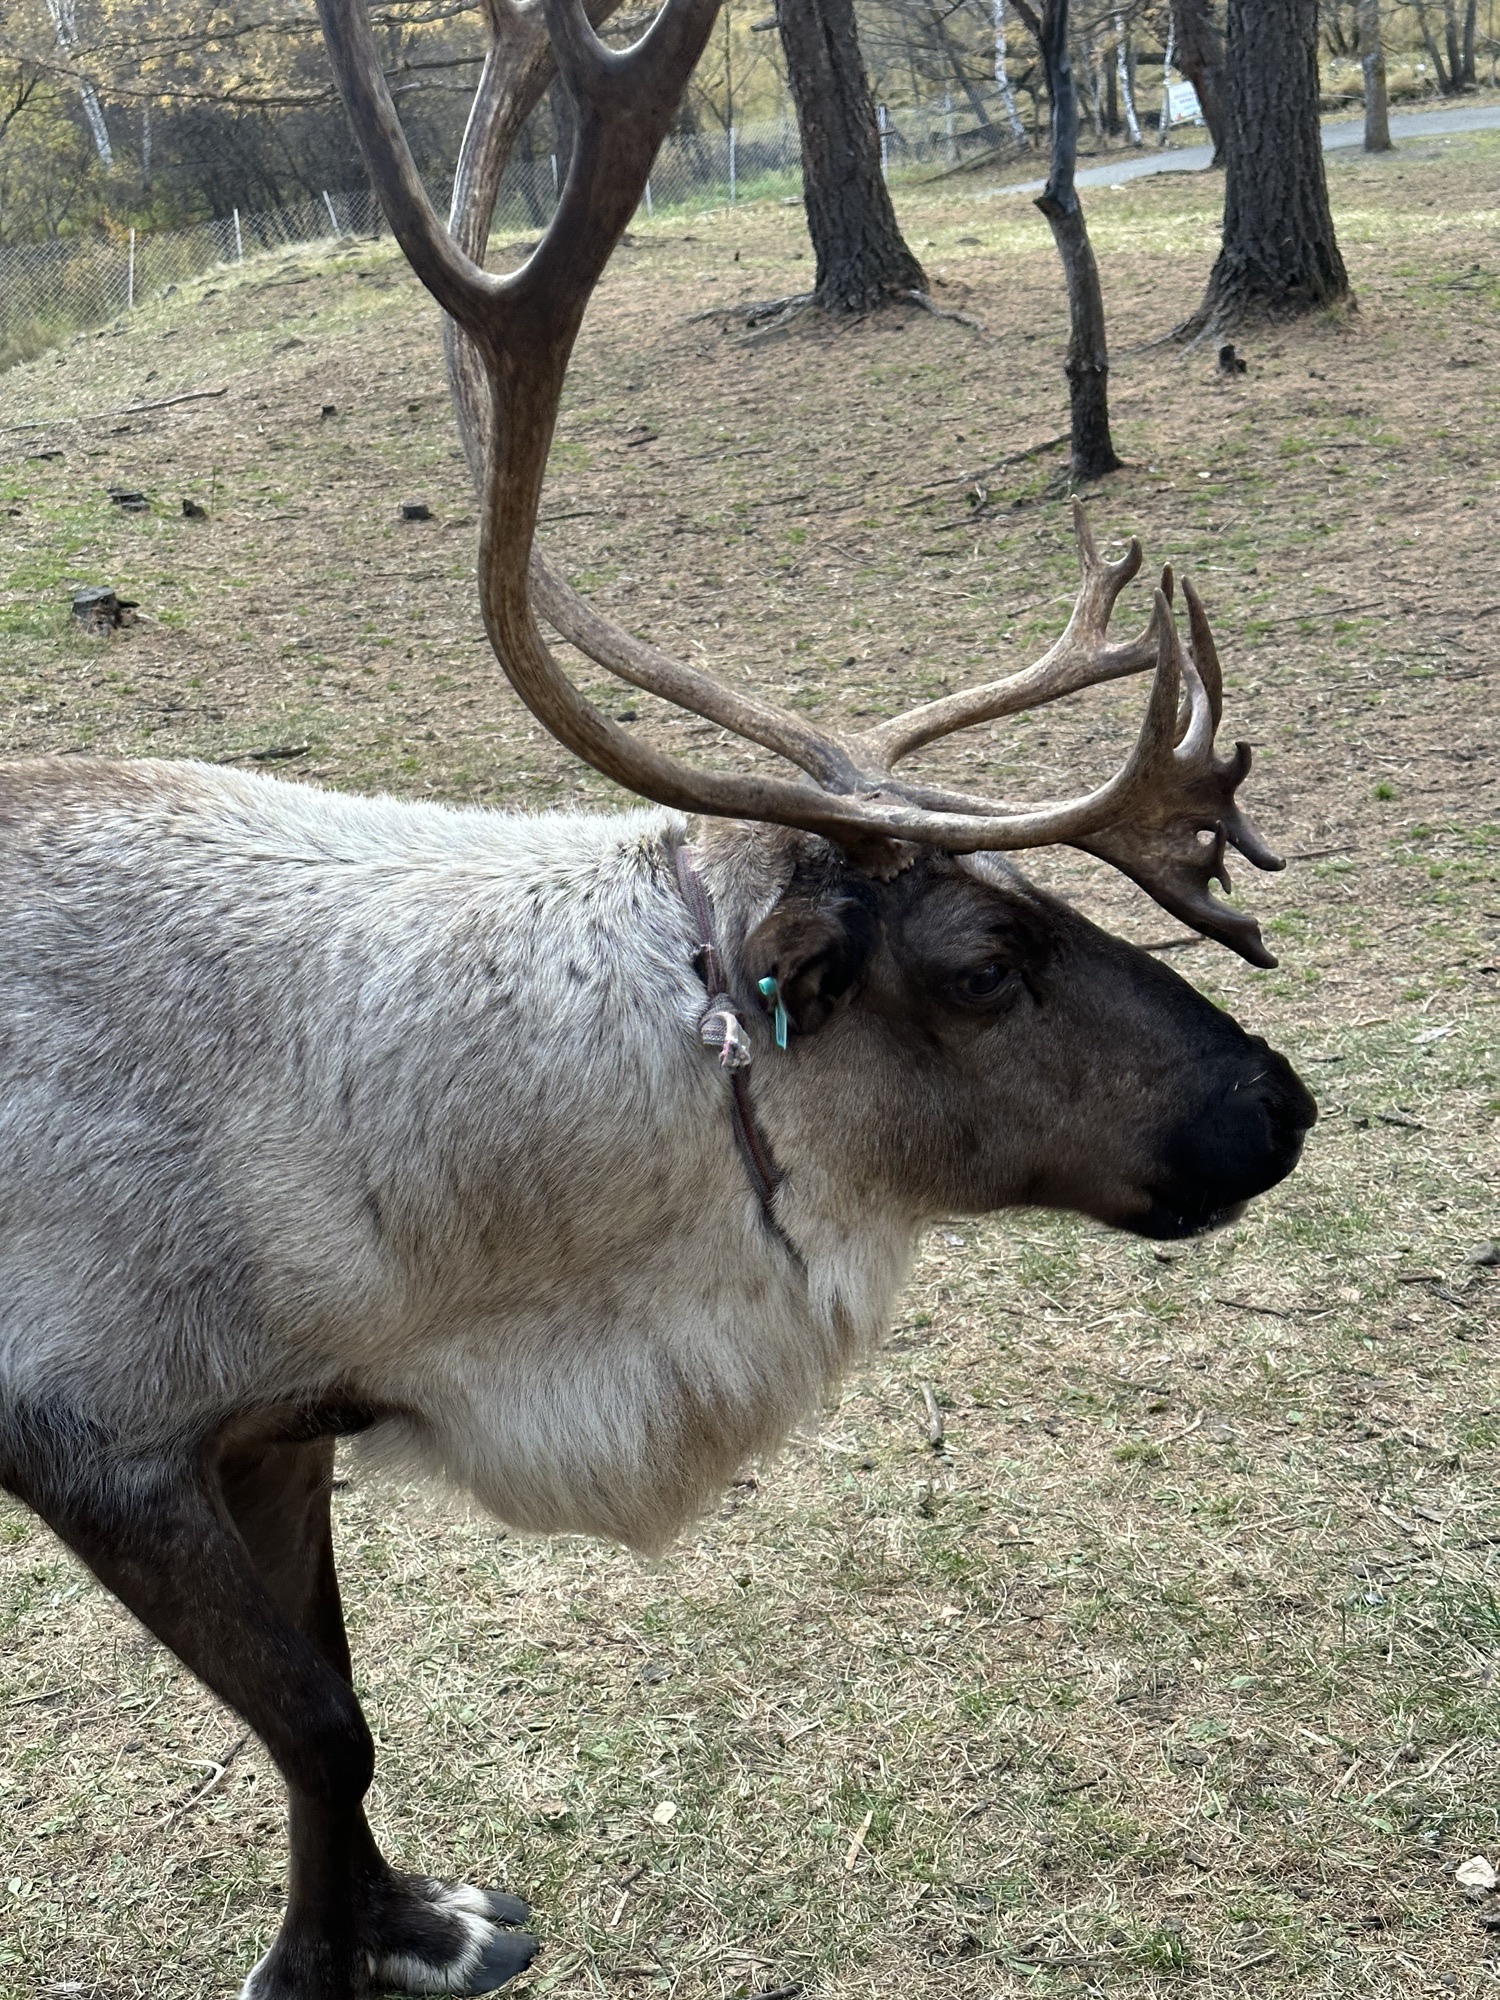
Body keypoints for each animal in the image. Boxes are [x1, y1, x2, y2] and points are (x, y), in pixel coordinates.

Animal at [0, 1, 1317, 1994]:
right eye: (983, 963)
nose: (1282, 1103)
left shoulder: (273, 1422)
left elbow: (333, 1708)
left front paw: (402, 1922)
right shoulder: (94, 1440)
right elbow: (317, 1717)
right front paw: (316, 1964)